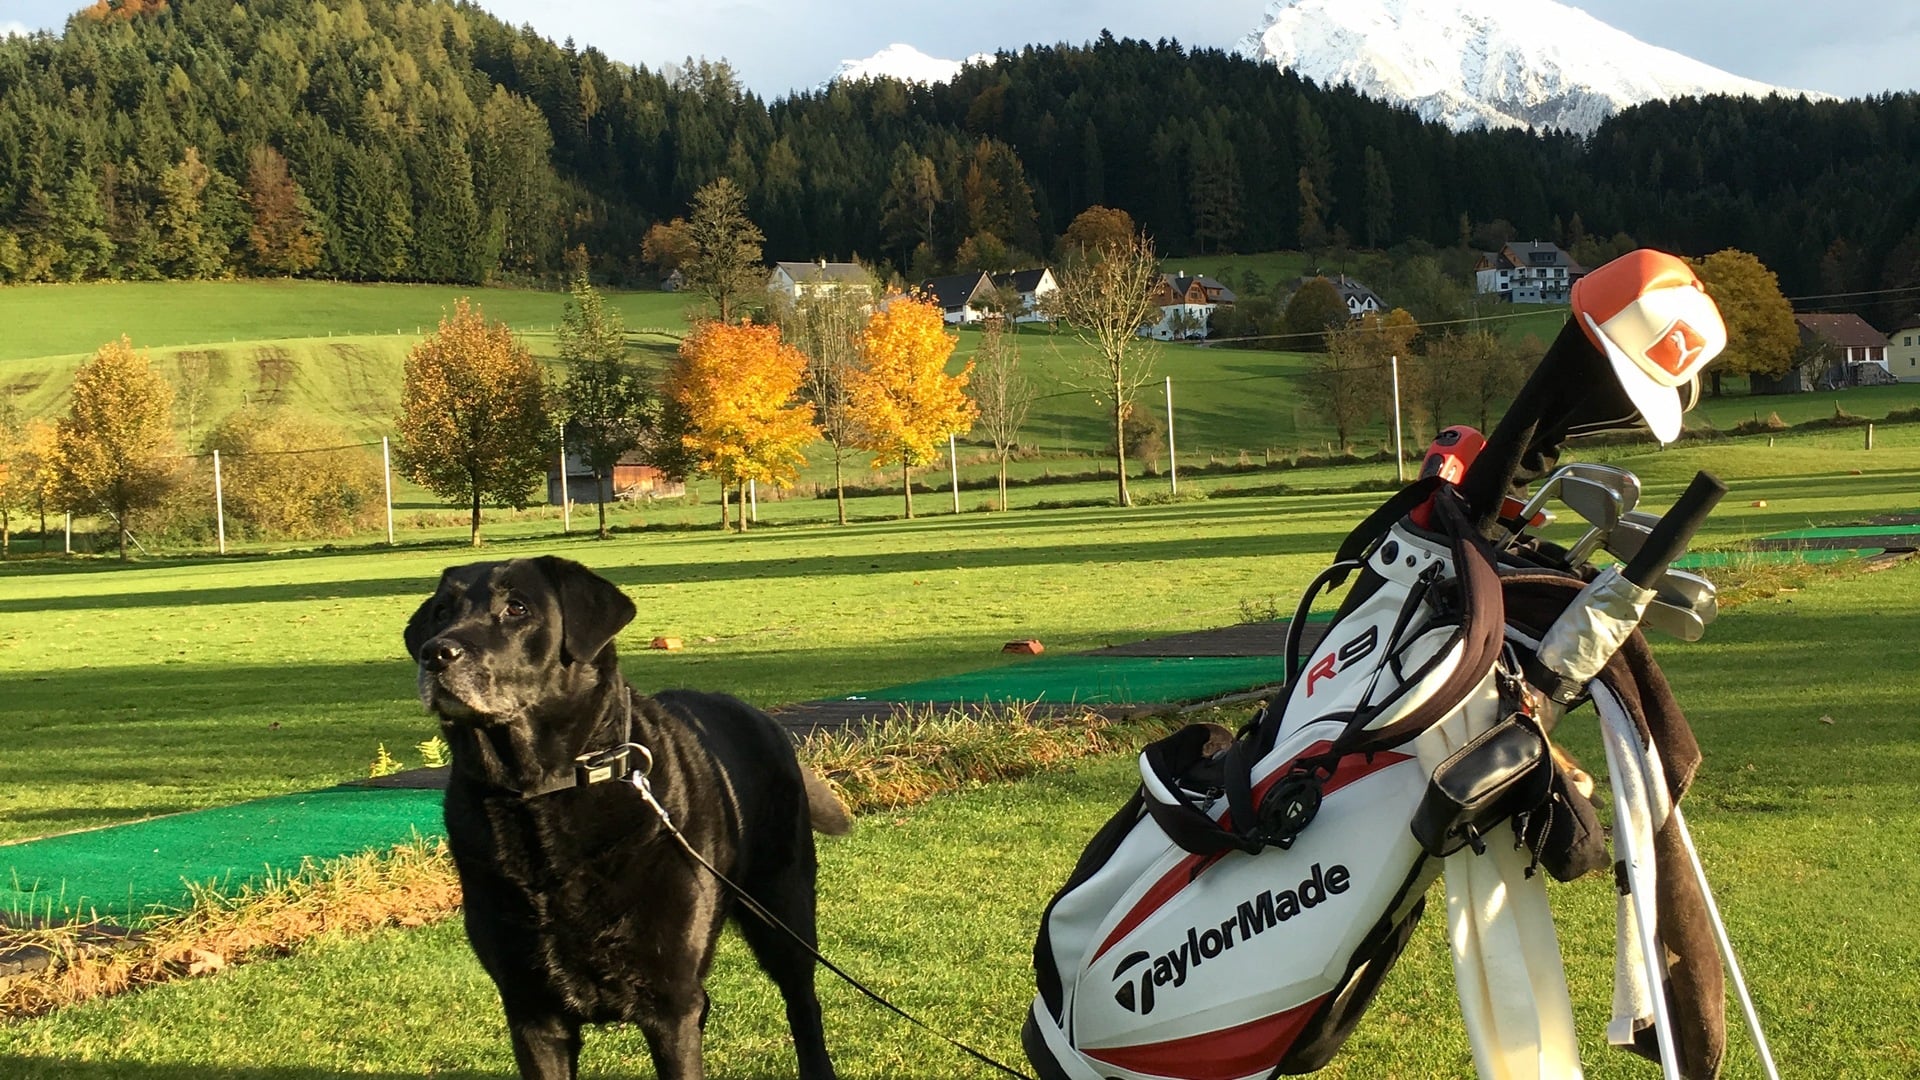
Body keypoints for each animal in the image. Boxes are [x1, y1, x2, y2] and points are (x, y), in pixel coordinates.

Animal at [405, 553, 848, 1076]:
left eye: (517, 608)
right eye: (441, 612)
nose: (436, 653)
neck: (542, 795)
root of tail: (761, 716)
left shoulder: (670, 1002)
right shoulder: (530, 1009)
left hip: (783, 910)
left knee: (803, 1003)